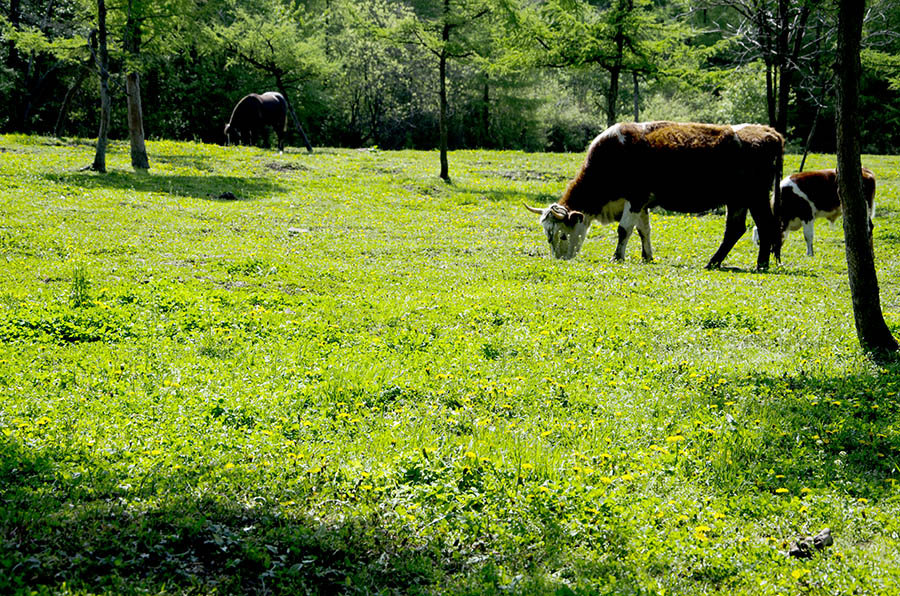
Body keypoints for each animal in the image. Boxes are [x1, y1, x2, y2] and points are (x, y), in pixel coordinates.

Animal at [524, 121, 784, 270]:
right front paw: (647, 256)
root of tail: (768, 132)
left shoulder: (635, 197)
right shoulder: (641, 203)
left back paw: (761, 264)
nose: (560, 259)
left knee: (765, 225)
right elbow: (643, 230)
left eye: (562, 235)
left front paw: (617, 256)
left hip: (756, 197)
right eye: (547, 235)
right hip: (738, 200)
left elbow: (624, 230)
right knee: (735, 230)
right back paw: (714, 262)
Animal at [748, 166, 876, 258]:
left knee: (869, 228)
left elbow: (808, 235)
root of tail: (865, 170)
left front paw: (809, 254)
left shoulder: (807, 215)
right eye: (758, 242)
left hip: (865, 207)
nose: (769, 253)